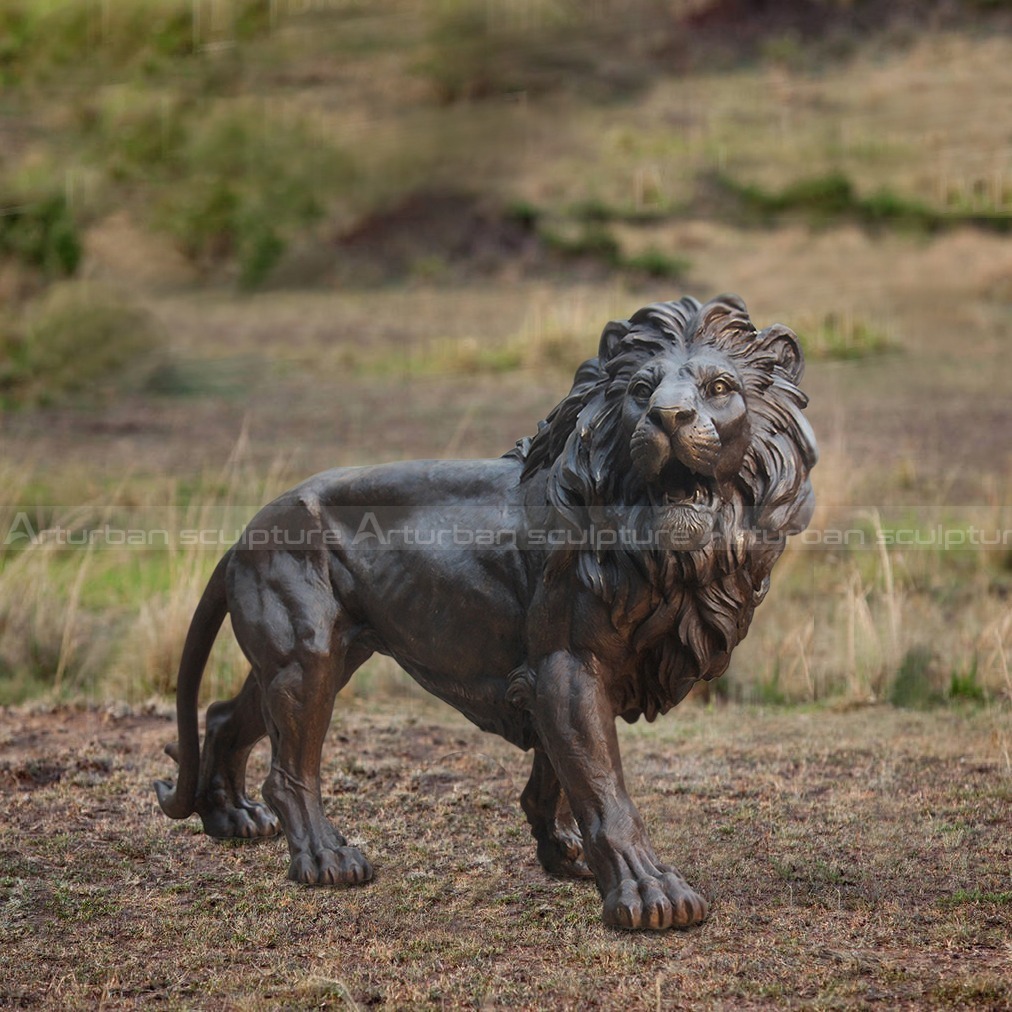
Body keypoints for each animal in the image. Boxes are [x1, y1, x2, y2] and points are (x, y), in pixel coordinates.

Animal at [153, 289, 813, 926]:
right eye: (640, 391)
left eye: (719, 387)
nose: (668, 418)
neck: (666, 558)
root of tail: (249, 528)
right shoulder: (567, 665)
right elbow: (604, 789)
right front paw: (649, 892)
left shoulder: (551, 674)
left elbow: (556, 779)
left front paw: (564, 854)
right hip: (306, 656)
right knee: (290, 775)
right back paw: (325, 858)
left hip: (318, 654)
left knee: (224, 715)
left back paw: (231, 820)